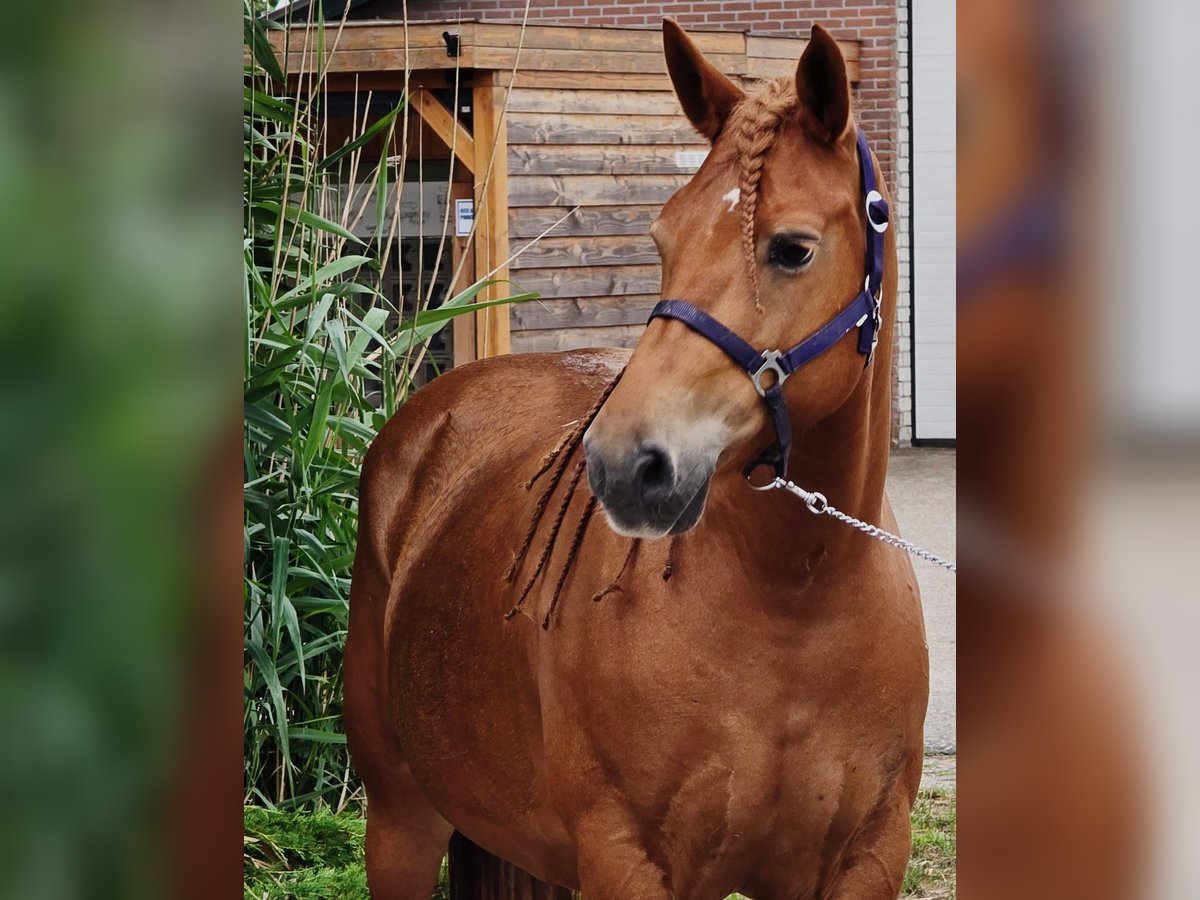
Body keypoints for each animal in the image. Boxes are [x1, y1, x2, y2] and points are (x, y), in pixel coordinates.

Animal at [344, 21, 928, 899]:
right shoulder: (626, 862)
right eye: (663, 237)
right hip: (399, 821)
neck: (797, 605)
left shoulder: (867, 859)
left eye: (792, 249)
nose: (625, 465)